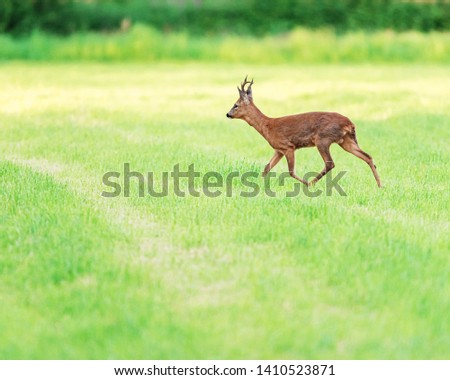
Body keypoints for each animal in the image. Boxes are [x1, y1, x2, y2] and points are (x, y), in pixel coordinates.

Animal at [227, 76, 382, 187]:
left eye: (236, 105)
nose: (228, 114)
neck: (267, 126)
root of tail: (350, 123)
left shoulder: (288, 146)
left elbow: (290, 171)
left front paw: (305, 183)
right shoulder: (278, 149)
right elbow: (266, 167)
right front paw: (258, 184)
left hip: (323, 139)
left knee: (330, 163)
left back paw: (311, 183)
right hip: (346, 141)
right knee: (367, 156)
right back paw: (380, 185)